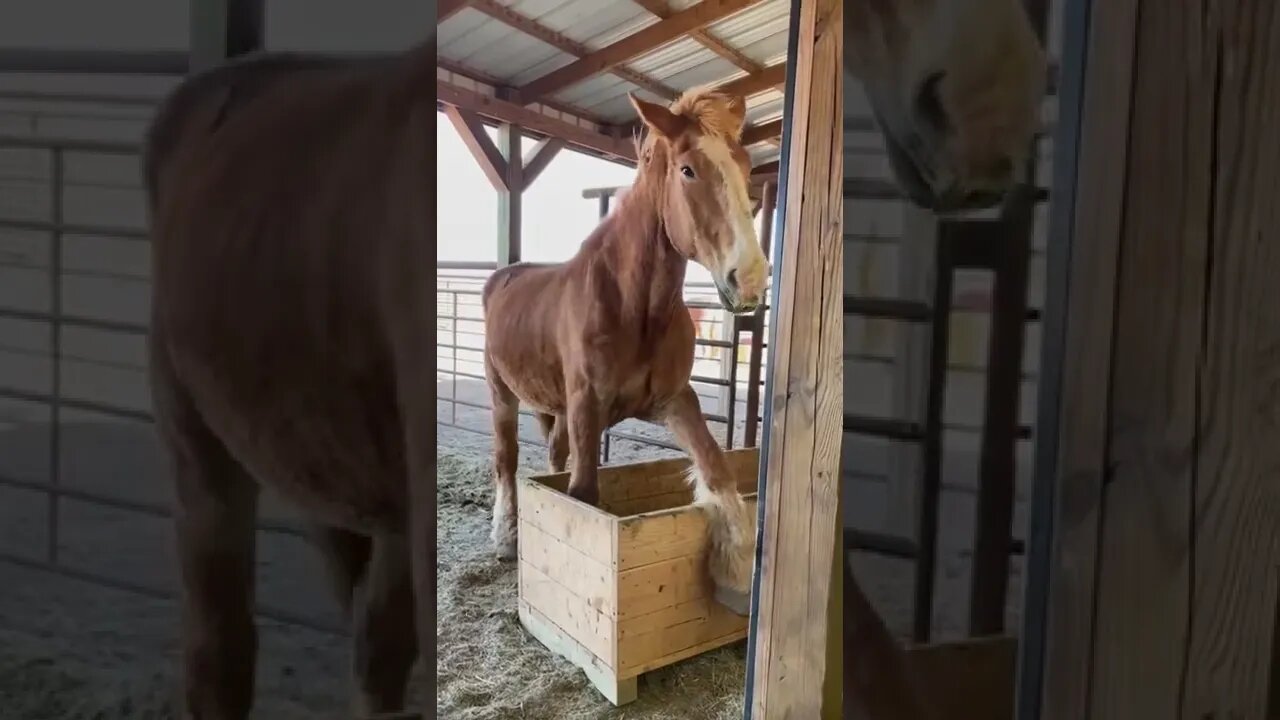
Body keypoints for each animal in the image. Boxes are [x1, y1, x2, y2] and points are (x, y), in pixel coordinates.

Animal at [481, 87, 768, 607]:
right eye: (688, 170)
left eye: (745, 166)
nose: (751, 279)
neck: (633, 307)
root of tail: (503, 277)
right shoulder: (586, 406)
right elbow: (582, 494)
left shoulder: (672, 400)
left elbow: (716, 468)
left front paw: (734, 569)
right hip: (502, 394)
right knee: (505, 461)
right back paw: (507, 537)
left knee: (552, 454)